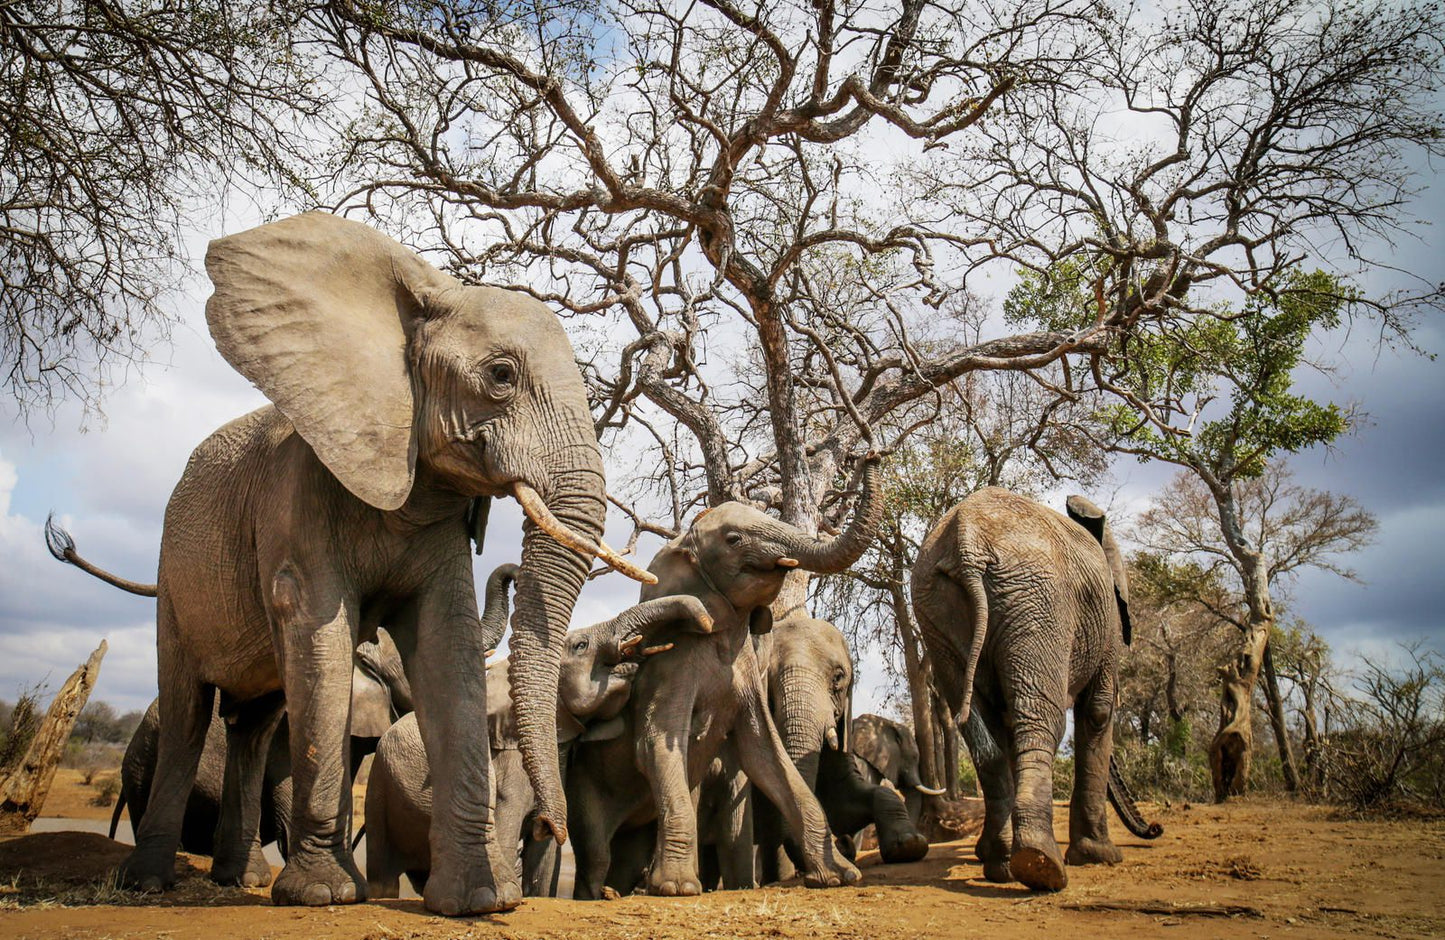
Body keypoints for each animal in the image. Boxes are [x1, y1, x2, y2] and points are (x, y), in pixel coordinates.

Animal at [358, 600, 708, 901]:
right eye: (580, 646)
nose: (705, 623)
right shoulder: (508, 762)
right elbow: (506, 824)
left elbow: (548, 855)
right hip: (378, 786)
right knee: (383, 870)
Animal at [569, 459, 884, 906]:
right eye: (734, 539)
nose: (873, 456)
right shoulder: (672, 664)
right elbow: (657, 742)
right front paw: (677, 889)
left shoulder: (745, 669)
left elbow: (765, 753)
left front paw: (842, 877)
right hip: (583, 785)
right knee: (595, 853)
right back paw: (603, 895)